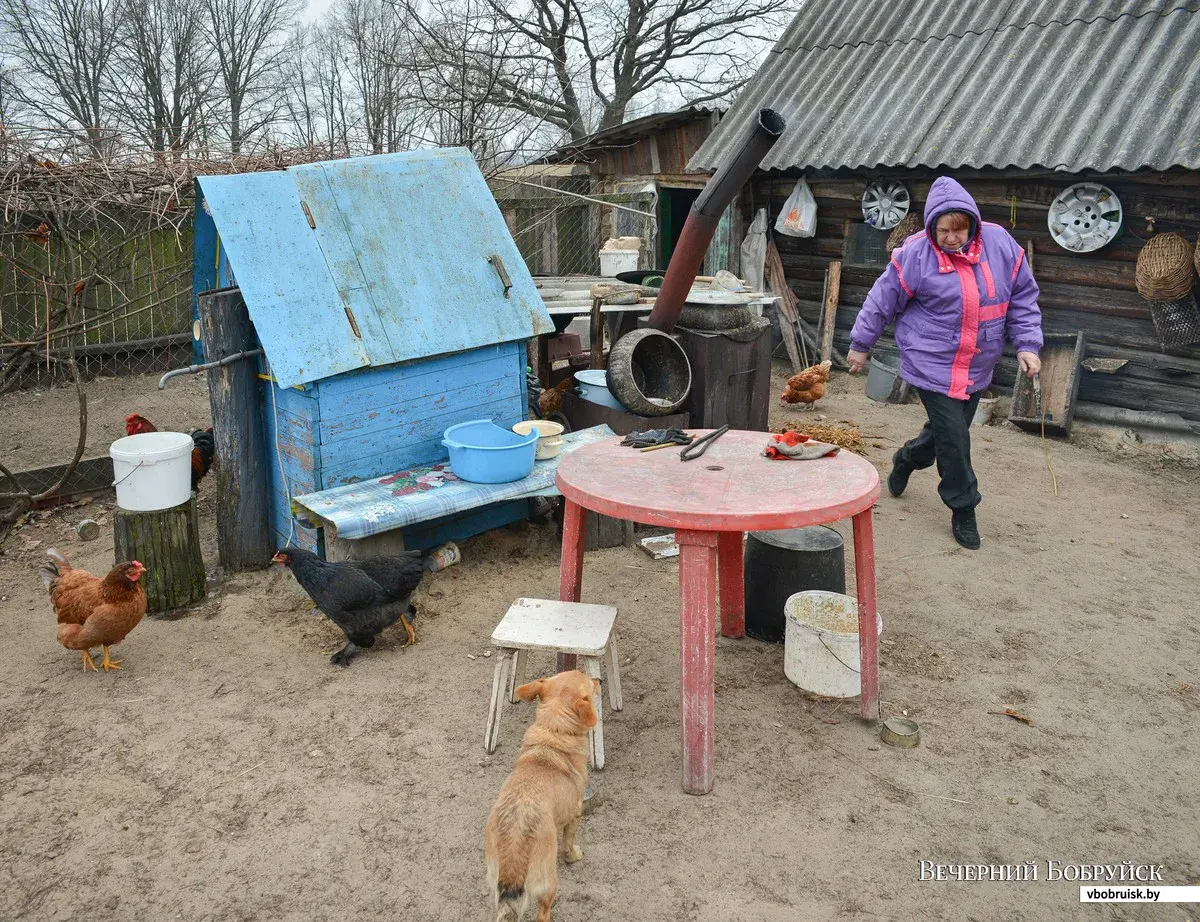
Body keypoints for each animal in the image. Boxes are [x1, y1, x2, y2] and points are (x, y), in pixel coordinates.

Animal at [484, 672, 597, 922]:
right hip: (548, 884)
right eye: (589, 682)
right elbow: (568, 843)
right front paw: (573, 855)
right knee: (543, 912)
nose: (599, 680)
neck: (553, 730)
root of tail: (515, 845)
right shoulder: (575, 814)